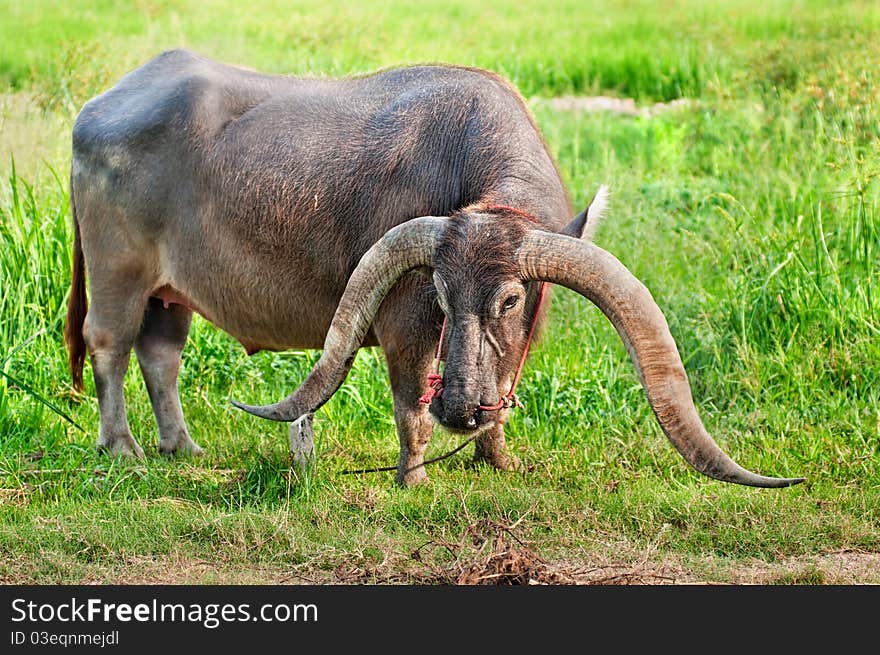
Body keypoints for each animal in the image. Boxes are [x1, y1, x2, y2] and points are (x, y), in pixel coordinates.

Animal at [65, 50, 800, 486]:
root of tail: (97, 108)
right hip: (118, 275)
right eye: (441, 297)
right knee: (111, 348)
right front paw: (413, 476)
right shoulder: (403, 329)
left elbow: (505, 397)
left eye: (510, 299)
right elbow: (407, 408)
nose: (460, 408)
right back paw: (122, 447)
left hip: (171, 293)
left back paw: (182, 447)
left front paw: (495, 458)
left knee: (161, 356)